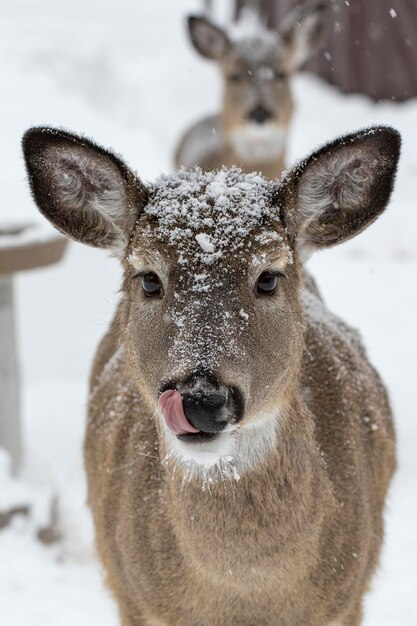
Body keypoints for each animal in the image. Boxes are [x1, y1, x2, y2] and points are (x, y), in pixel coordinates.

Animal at [23, 123, 400, 624]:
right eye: (149, 278)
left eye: (268, 277)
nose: (200, 399)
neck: (241, 598)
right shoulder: (133, 600)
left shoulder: (347, 601)